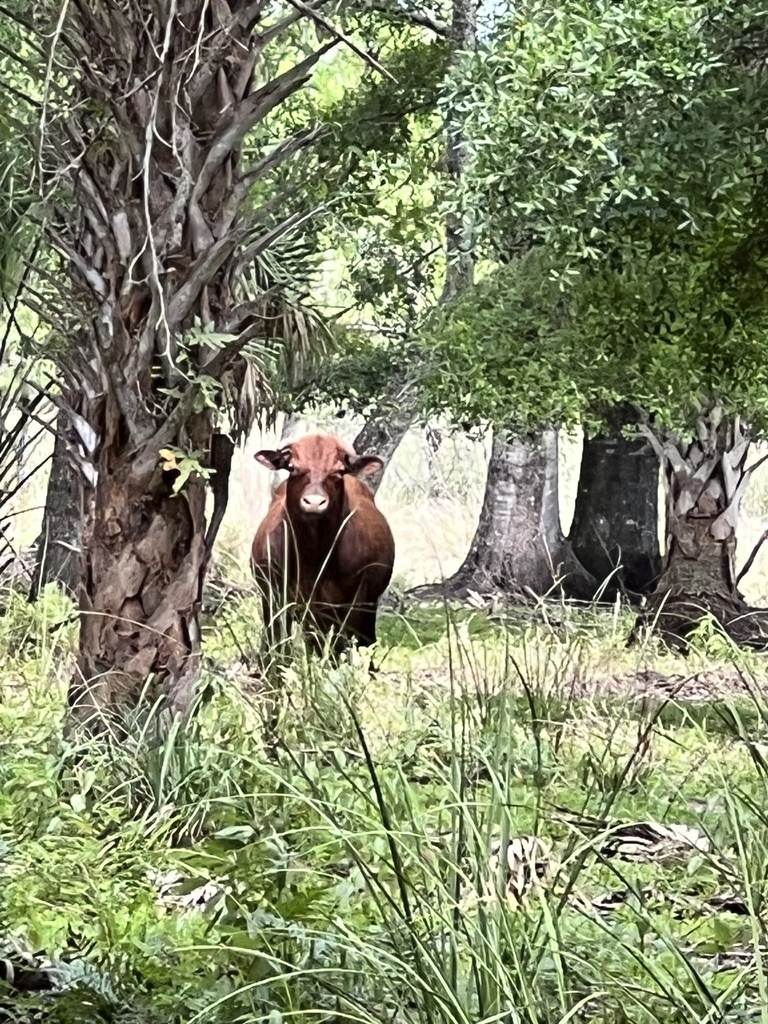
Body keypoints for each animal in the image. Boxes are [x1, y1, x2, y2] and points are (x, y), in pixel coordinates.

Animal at [251, 433, 395, 660]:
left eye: (338, 470)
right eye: (293, 467)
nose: (314, 502)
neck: (313, 556)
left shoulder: (353, 603)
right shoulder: (274, 598)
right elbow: (278, 647)